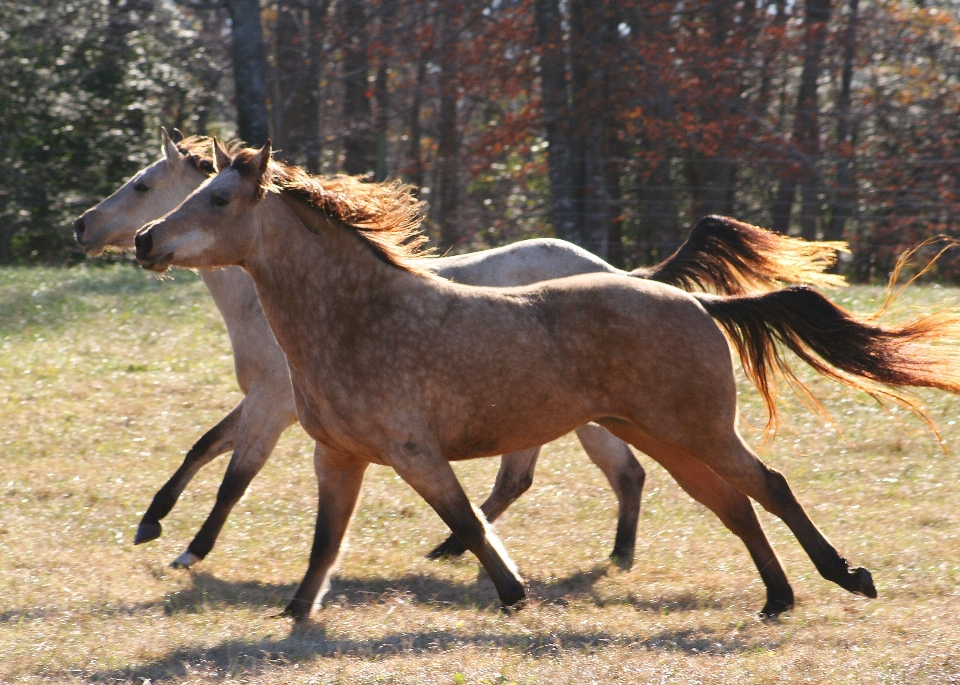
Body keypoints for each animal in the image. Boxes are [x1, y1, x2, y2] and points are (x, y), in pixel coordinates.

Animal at [133, 140, 960, 620]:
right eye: (186, 193)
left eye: (217, 198)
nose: (143, 240)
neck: (359, 317)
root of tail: (696, 300)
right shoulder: (336, 455)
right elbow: (323, 543)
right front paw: (294, 614)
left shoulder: (412, 452)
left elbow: (468, 519)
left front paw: (511, 591)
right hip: (660, 436)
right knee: (734, 505)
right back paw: (778, 598)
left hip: (696, 430)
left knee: (771, 487)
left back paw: (845, 577)